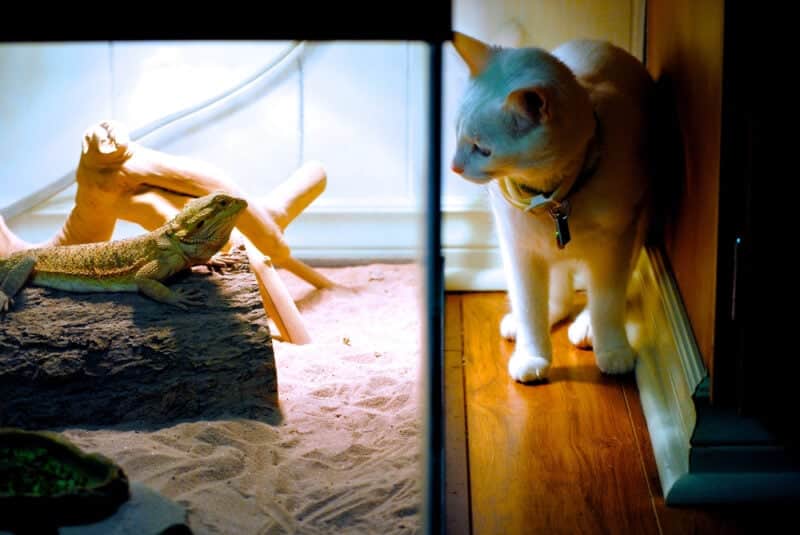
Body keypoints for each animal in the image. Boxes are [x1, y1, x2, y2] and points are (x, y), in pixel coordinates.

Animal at [450, 33, 656, 384]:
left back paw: (587, 328)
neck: (551, 197)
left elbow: (607, 303)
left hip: (637, 228)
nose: (454, 166)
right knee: (555, 290)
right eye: (458, 136)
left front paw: (612, 348)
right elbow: (530, 305)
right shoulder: (519, 249)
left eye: (482, 149)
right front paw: (532, 355)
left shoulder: (616, 245)